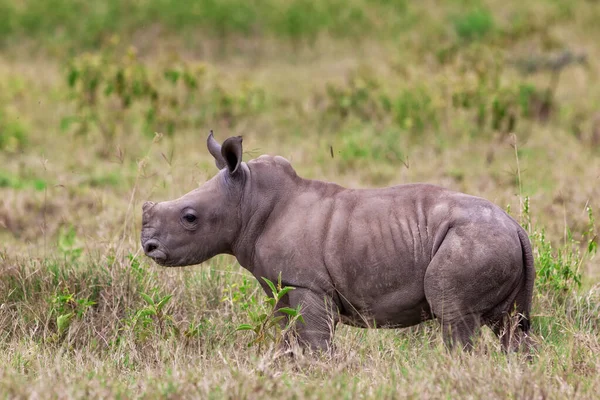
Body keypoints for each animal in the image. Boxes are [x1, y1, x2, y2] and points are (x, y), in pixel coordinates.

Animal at [141, 134, 536, 354]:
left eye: (189, 218)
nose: (148, 246)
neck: (248, 199)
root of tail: (516, 226)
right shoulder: (284, 285)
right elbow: (289, 335)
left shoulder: (308, 284)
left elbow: (317, 340)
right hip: (492, 240)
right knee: (511, 324)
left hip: (473, 240)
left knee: (454, 318)